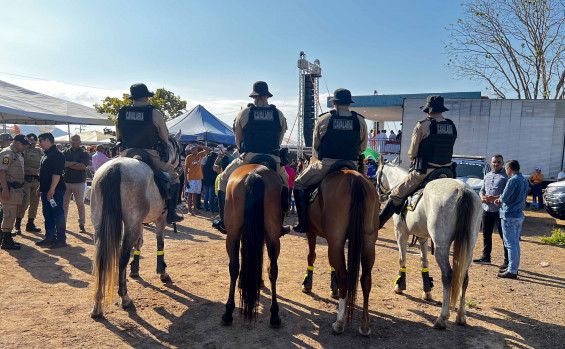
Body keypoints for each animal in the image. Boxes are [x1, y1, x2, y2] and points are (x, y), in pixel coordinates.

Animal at [90, 132, 181, 316]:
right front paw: (162, 271)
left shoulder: (140, 223)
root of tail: (115, 169)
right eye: (179, 148)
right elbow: (160, 242)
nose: (180, 165)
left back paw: (97, 304)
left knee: (101, 258)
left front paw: (135, 269)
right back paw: (124, 297)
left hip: (101, 225)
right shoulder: (160, 219)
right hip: (131, 224)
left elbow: (139, 243)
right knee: (122, 257)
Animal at [219, 163, 282, 326]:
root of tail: (254, 173)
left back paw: (228, 312)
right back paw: (274, 314)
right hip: (272, 235)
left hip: (232, 234)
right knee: (273, 269)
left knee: (234, 267)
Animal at [302, 170, 376, 336]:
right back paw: (364, 325)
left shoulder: (312, 232)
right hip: (368, 241)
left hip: (336, 240)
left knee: (344, 277)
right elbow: (332, 265)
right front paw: (333, 288)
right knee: (366, 279)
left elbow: (311, 256)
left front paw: (307, 283)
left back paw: (340, 322)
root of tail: (355, 178)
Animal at [374, 160, 480, 328]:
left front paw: (399, 285)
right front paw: (427, 290)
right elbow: (424, 261)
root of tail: (462, 190)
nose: (378, 193)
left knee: (448, 275)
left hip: (441, 246)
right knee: (464, 277)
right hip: (469, 246)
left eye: (377, 173)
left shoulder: (400, 233)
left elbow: (402, 259)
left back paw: (442, 317)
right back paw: (461, 315)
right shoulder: (422, 236)